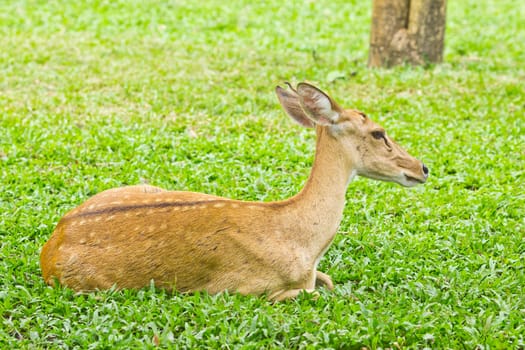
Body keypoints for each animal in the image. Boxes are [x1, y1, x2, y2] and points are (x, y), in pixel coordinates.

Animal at [40, 82, 426, 300]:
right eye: (378, 133)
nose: (422, 168)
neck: (304, 242)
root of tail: (50, 246)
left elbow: (327, 283)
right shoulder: (242, 290)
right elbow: (315, 294)